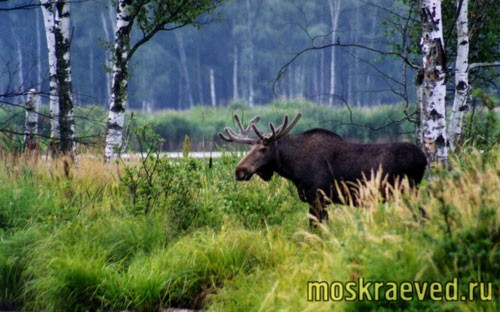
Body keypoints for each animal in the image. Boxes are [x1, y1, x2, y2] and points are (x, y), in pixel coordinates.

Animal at [217, 112, 428, 224]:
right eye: (249, 147)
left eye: (263, 148)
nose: (240, 171)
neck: (293, 169)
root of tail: (424, 158)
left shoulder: (317, 197)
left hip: (409, 190)